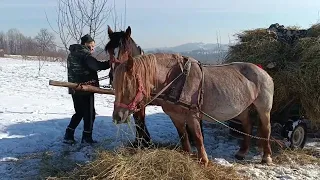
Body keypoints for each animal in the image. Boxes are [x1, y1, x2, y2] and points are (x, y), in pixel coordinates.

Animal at [111, 53, 274, 166]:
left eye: (127, 86)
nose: (117, 116)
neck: (176, 79)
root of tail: (262, 71)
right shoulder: (175, 117)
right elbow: (183, 137)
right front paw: (187, 156)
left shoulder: (193, 115)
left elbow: (197, 137)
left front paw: (204, 161)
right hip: (243, 108)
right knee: (247, 125)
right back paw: (242, 152)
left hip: (264, 107)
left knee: (266, 129)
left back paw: (266, 157)